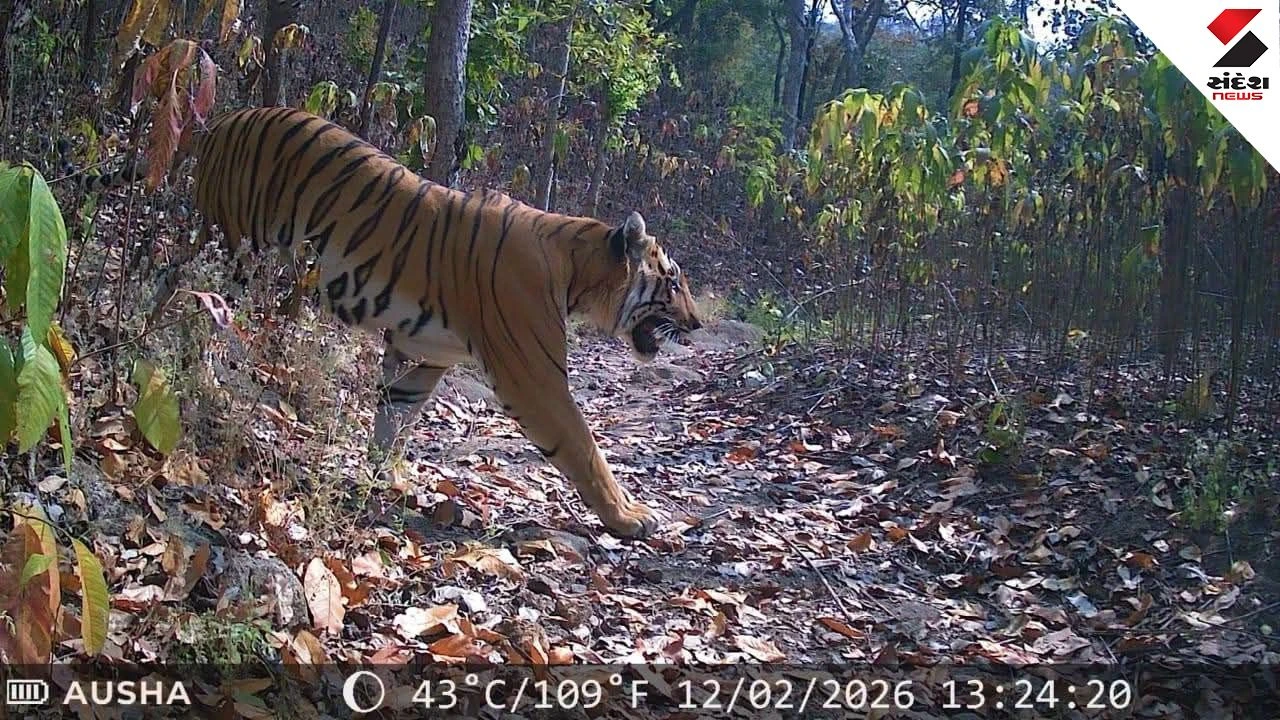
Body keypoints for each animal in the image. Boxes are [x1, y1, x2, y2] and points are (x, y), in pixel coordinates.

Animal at [83, 106, 703, 539]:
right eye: (673, 281)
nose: (697, 324)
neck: (574, 270)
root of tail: (221, 120)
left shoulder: (421, 353)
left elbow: (392, 420)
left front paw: (384, 482)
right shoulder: (535, 378)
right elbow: (585, 449)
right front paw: (631, 517)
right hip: (231, 246)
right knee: (188, 292)